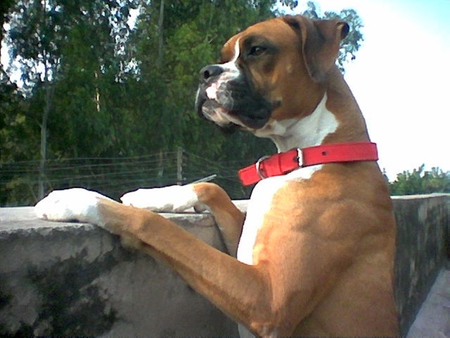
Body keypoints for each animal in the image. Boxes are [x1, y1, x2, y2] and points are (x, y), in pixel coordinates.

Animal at [37, 15, 400, 338]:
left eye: (257, 50)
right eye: (224, 56)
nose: (205, 72)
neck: (307, 154)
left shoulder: (267, 299)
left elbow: (157, 227)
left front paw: (77, 199)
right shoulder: (245, 245)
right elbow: (210, 187)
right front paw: (150, 195)